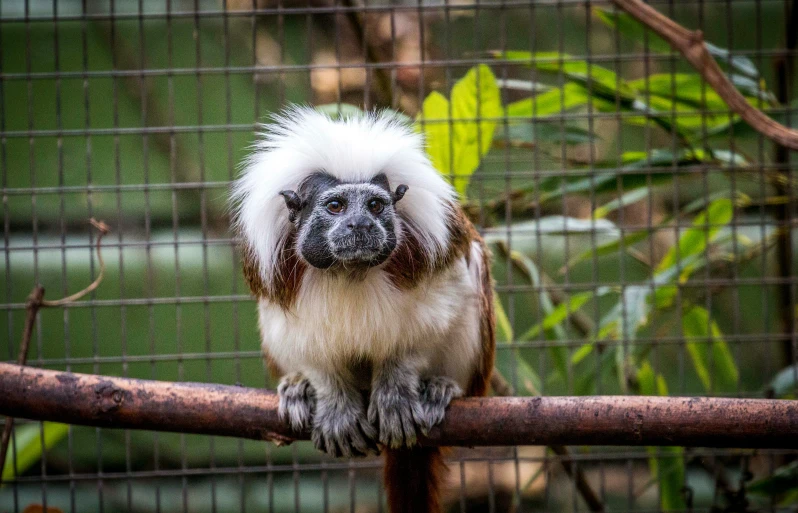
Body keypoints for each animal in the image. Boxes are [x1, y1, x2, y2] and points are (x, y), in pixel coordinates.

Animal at [230, 108, 494, 512]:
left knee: (474, 263)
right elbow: (304, 344)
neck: (349, 270)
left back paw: (441, 388)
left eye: (375, 206)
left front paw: (395, 391)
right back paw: (298, 389)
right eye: (336, 206)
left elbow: (428, 323)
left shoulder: (433, 253)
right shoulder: (276, 278)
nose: (362, 224)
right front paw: (333, 401)